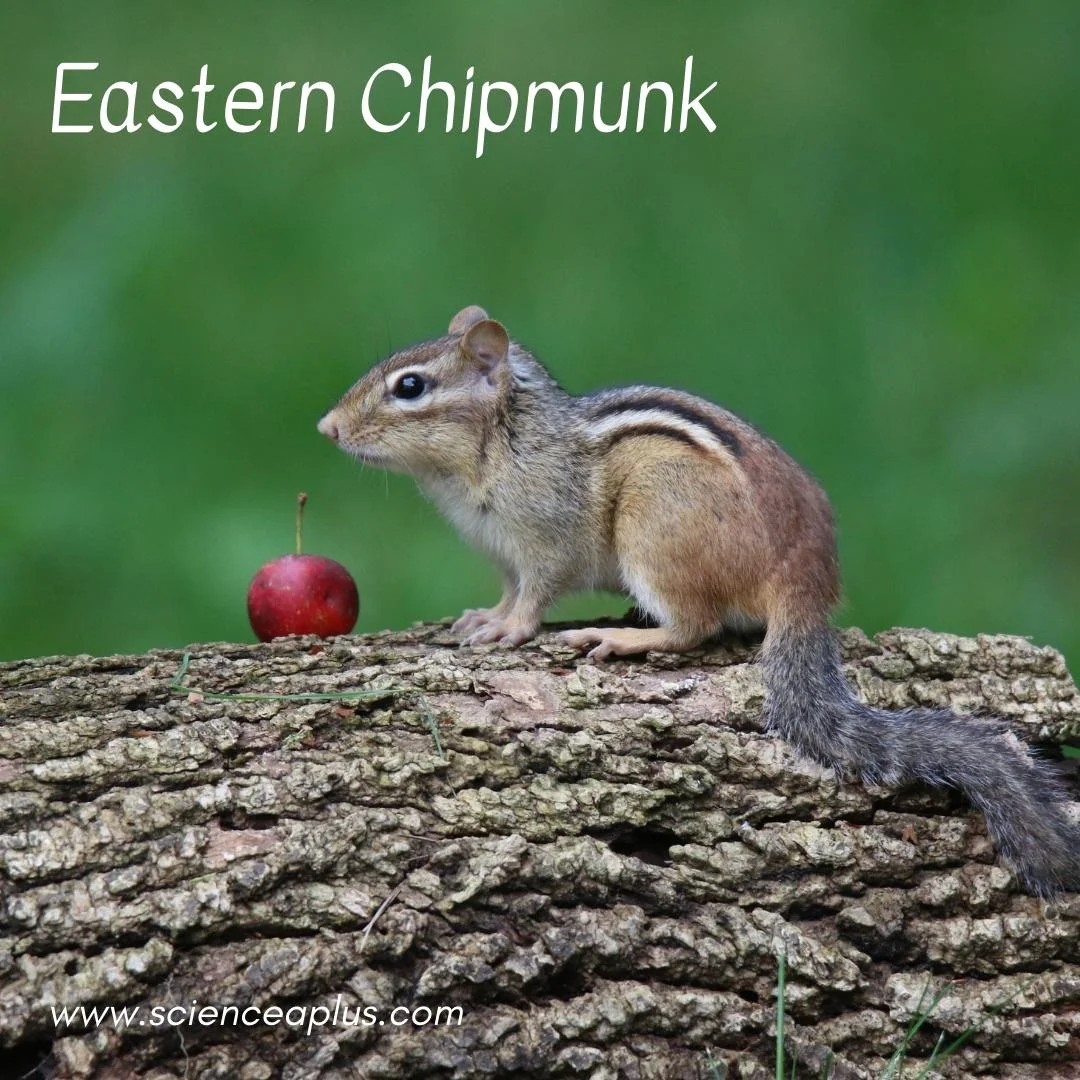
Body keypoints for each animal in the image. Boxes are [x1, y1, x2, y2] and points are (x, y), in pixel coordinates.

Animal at [318, 305, 1080, 898]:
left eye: (410, 387)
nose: (327, 428)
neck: (499, 442)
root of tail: (805, 583)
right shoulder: (506, 556)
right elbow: (507, 594)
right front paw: (484, 619)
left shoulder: (544, 542)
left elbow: (536, 598)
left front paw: (511, 632)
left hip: (655, 526)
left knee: (695, 627)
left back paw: (626, 637)